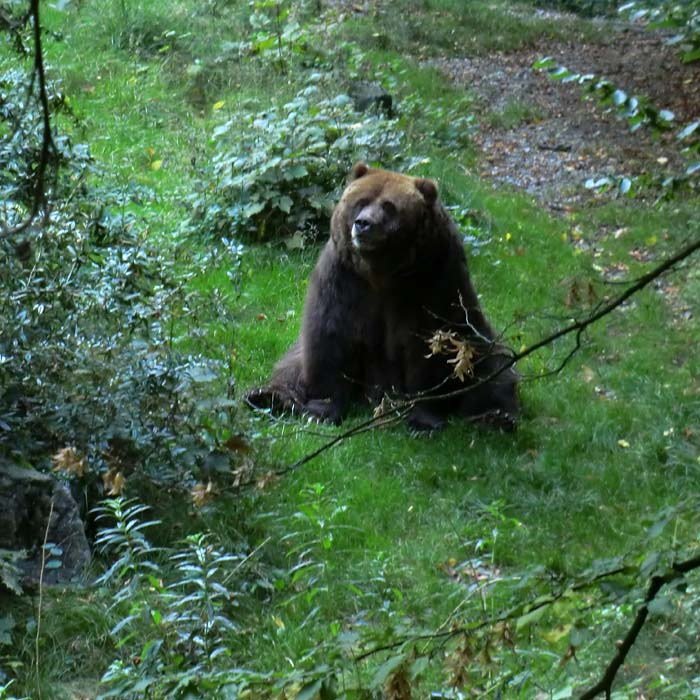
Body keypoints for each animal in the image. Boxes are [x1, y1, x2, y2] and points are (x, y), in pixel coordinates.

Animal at [247, 163, 520, 432]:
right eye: (361, 201)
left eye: (390, 207)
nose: (363, 223)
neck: (382, 273)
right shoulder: (343, 278)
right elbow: (329, 335)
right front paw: (321, 411)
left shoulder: (435, 281)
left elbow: (433, 344)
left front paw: (424, 420)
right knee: (291, 365)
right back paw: (266, 396)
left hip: (479, 341)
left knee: (495, 370)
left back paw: (496, 416)